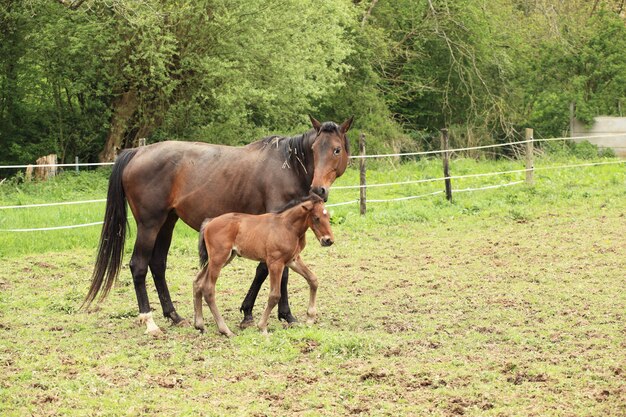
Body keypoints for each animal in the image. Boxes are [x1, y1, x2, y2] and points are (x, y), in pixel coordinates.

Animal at [194, 194, 332, 334]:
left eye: (328, 217)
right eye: (316, 218)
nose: (328, 240)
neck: (287, 227)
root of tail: (210, 222)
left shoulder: (293, 260)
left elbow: (313, 280)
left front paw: (310, 318)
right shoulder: (275, 263)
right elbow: (274, 295)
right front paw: (262, 327)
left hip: (222, 259)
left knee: (198, 282)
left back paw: (200, 325)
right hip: (219, 258)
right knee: (208, 289)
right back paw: (225, 330)